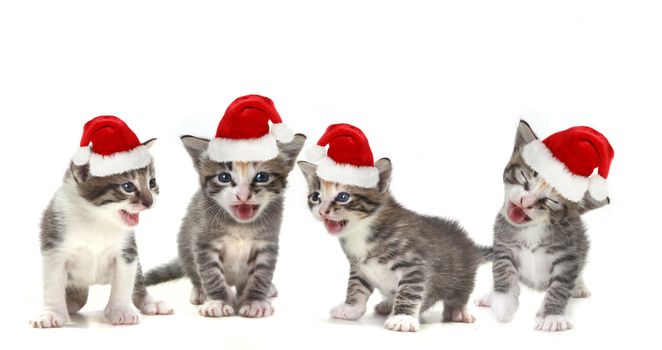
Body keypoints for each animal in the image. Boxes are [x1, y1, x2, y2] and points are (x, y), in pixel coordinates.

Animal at [30, 139, 171, 328]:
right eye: (128, 186)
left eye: (152, 183)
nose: (150, 202)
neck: (97, 218)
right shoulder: (53, 244)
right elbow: (52, 284)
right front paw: (51, 314)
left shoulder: (127, 251)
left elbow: (124, 283)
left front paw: (121, 311)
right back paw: (70, 304)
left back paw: (149, 302)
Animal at [145, 133, 306, 318]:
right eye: (224, 177)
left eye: (262, 177)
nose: (242, 196)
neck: (240, 226)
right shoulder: (204, 241)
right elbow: (211, 274)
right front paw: (218, 301)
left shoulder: (267, 243)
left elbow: (261, 275)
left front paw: (255, 301)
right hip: (184, 243)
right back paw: (200, 291)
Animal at [300, 160, 492, 332]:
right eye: (316, 197)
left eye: (343, 197)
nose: (321, 211)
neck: (363, 229)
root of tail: (471, 246)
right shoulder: (359, 267)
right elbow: (356, 287)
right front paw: (351, 308)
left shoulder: (414, 265)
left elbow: (408, 291)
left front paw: (403, 318)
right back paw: (387, 304)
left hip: (461, 274)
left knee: (459, 293)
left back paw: (457, 310)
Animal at [478, 121, 612, 332]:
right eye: (524, 177)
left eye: (551, 201)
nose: (525, 201)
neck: (532, 230)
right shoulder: (502, 244)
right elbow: (502, 270)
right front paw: (503, 302)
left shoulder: (568, 256)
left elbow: (560, 286)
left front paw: (552, 316)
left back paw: (579, 287)